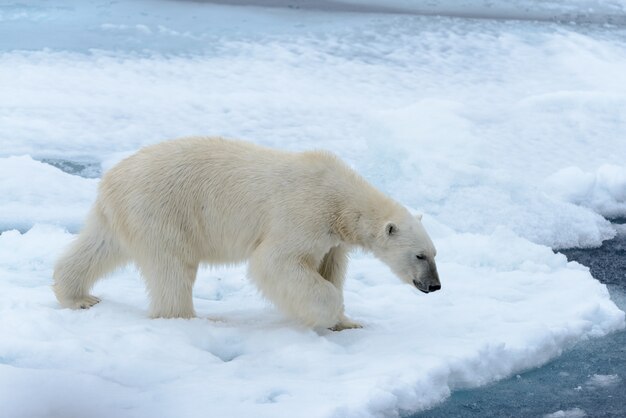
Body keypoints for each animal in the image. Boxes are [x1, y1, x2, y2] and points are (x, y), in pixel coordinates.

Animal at [56, 137, 442, 330]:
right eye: (420, 255)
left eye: (435, 254)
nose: (435, 286)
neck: (341, 198)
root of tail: (111, 180)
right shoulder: (303, 214)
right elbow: (275, 263)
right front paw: (326, 316)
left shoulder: (332, 239)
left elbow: (330, 267)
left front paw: (349, 322)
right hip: (162, 209)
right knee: (173, 267)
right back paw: (193, 319)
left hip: (123, 214)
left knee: (98, 246)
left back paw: (78, 296)